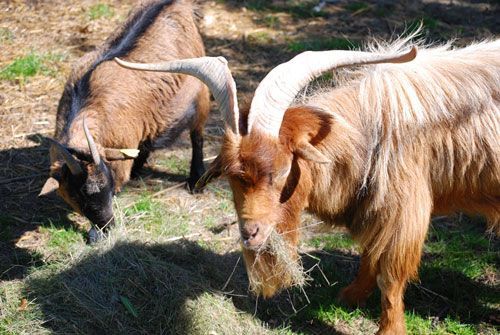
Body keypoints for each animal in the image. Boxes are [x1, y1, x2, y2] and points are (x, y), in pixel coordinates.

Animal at [40, 0, 209, 242]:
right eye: (78, 197)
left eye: (107, 186)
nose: (107, 225)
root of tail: (176, 4)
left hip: (201, 91)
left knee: (197, 133)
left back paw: (196, 179)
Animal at [115, 35, 498, 334]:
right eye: (233, 177)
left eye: (284, 169)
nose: (251, 233)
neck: (368, 132)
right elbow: (369, 255)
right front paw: (350, 296)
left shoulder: (404, 210)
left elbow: (389, 275)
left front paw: (388, 329)